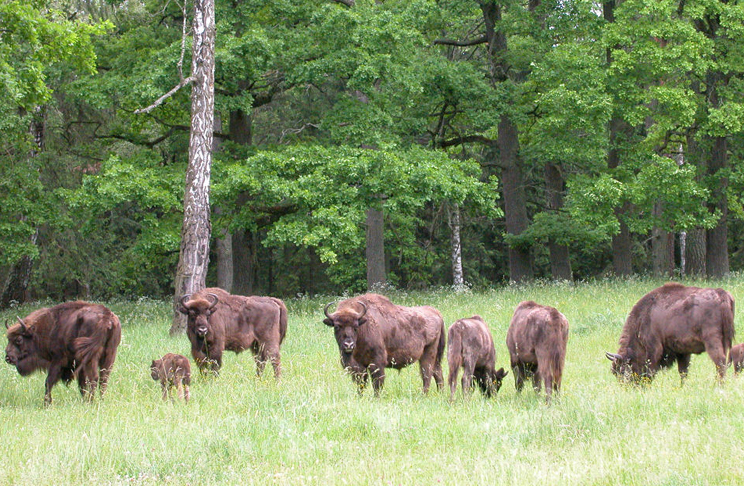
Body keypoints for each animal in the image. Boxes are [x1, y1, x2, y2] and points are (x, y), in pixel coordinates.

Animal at [608, 284, 736, 384]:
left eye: (622, 370)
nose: (629, 387)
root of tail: (720, 293)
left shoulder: (653, 348)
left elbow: (651, 368)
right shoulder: (683, 352)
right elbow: (683, 371)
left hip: (712, 341)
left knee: (720, 361)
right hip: (724, 341)